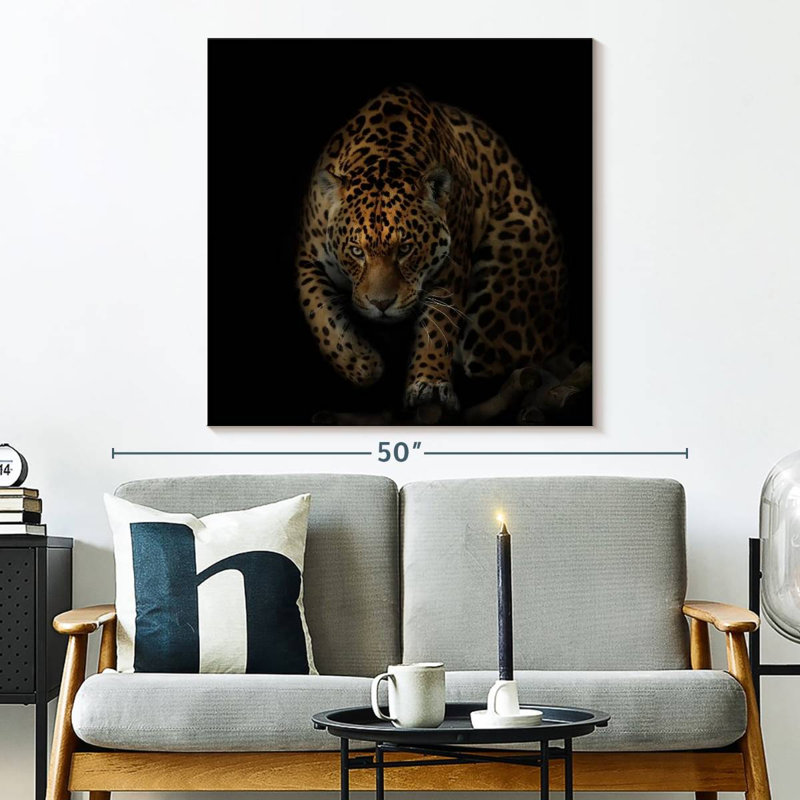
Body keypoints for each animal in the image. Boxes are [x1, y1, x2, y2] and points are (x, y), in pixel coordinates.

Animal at [296, 84, 566, 414]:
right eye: (357, 252)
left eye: (405, 249)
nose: (381, 304)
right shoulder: (308, 258)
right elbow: (320, 315)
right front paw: (362, 363)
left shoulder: (452, 265)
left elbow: (438, 327)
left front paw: (429, 383)